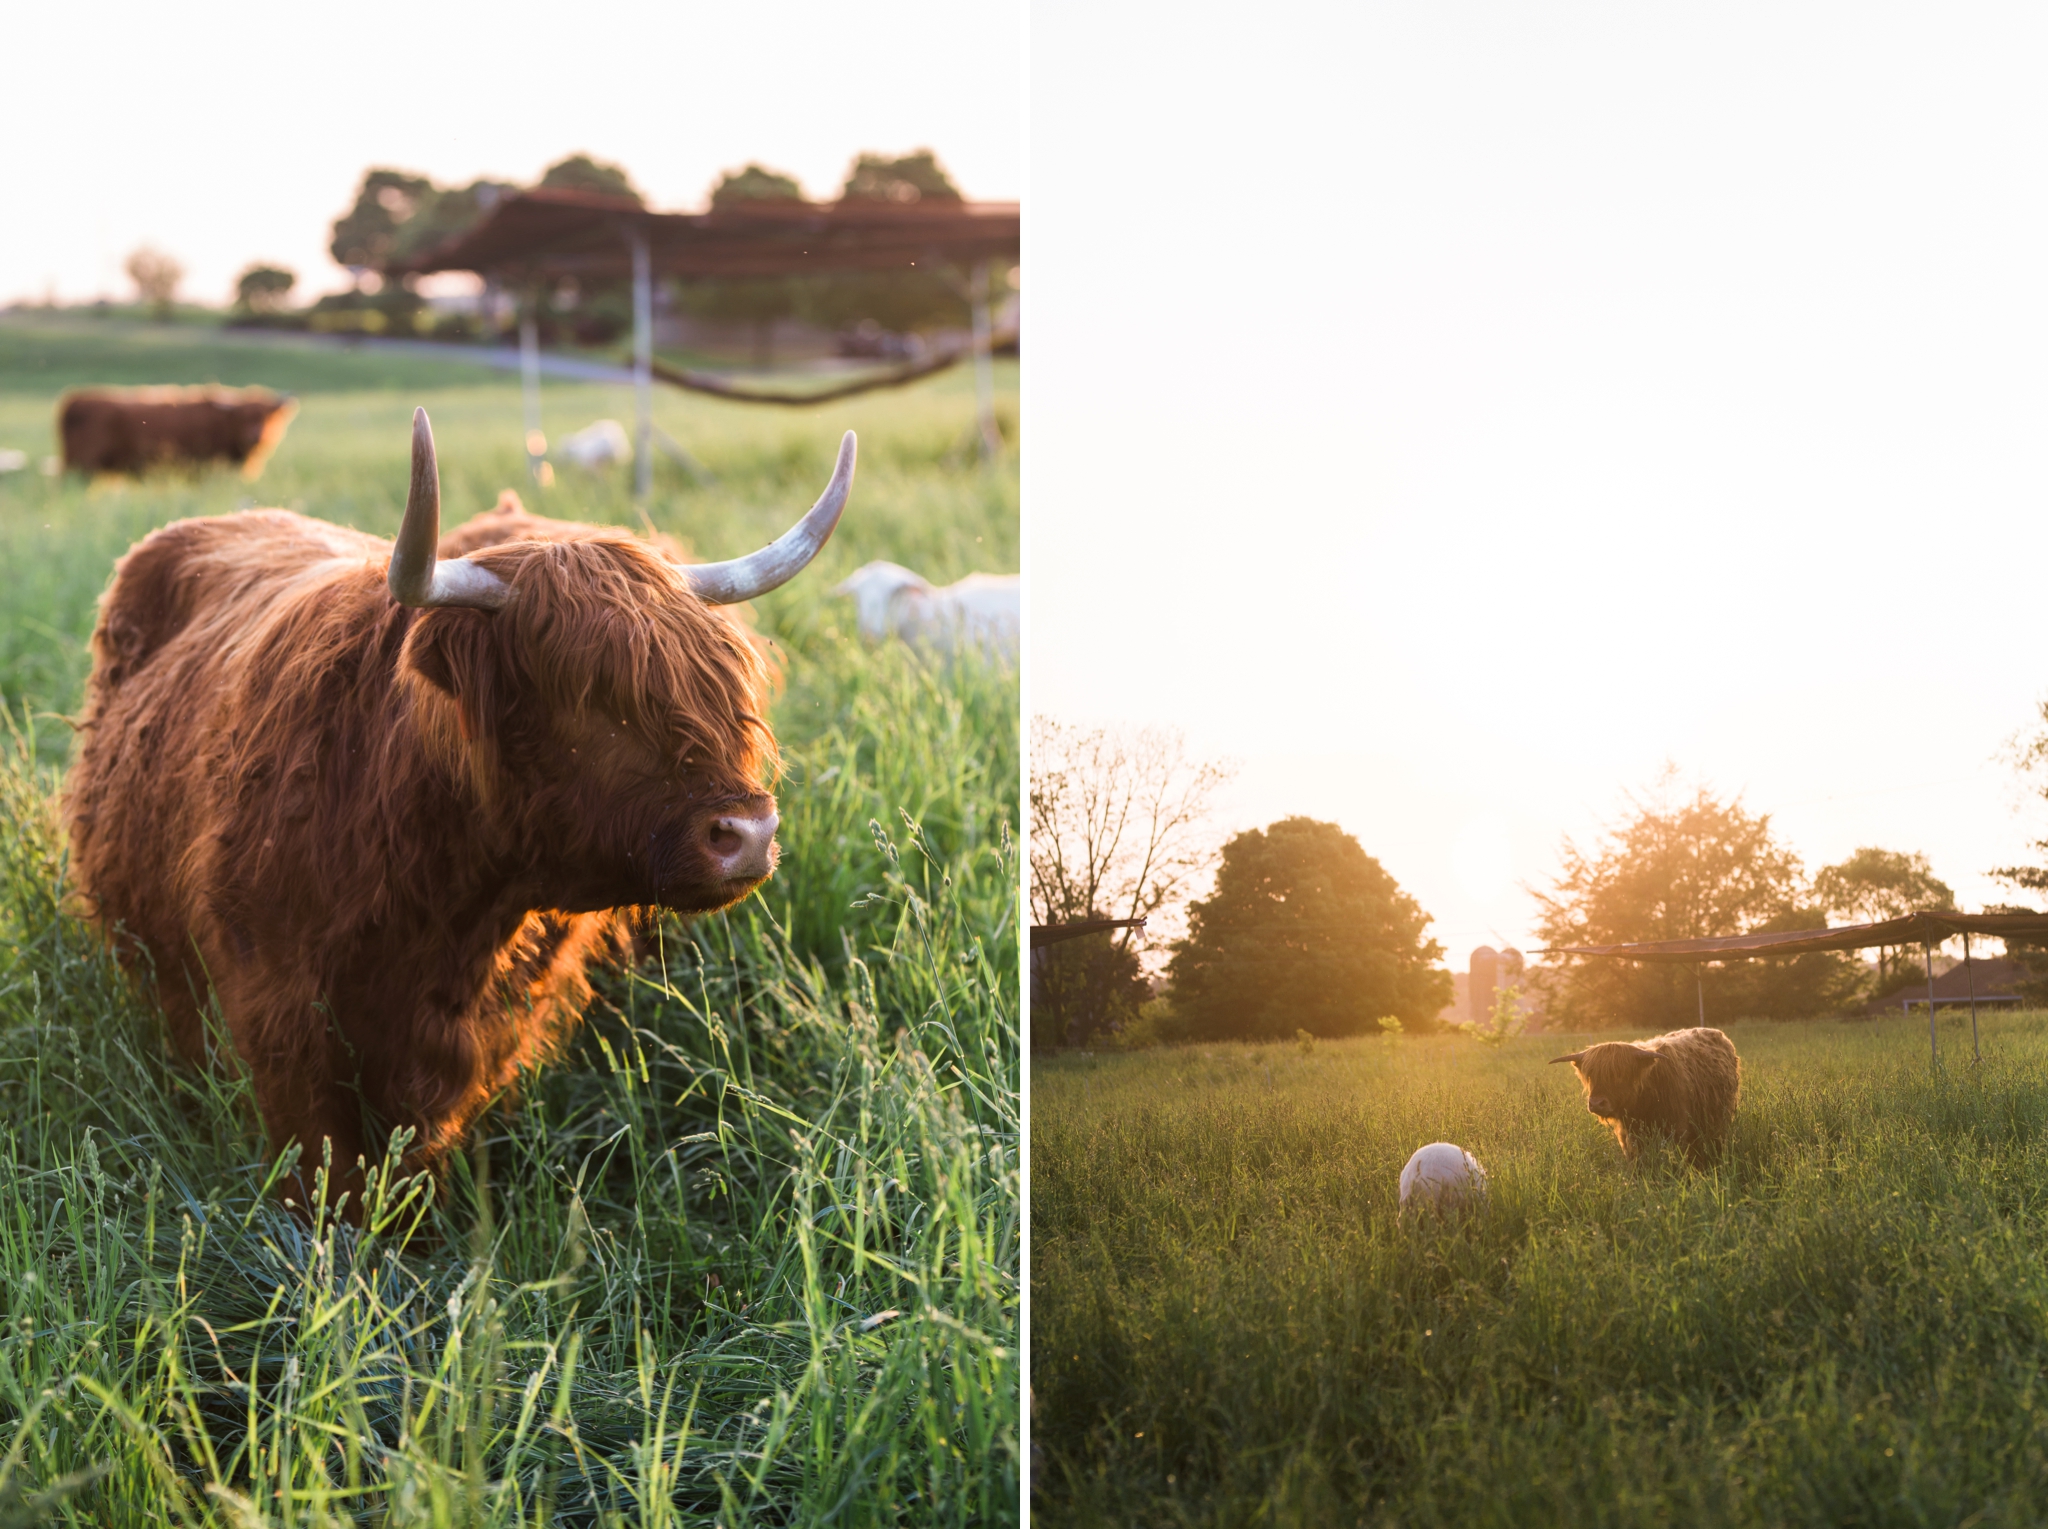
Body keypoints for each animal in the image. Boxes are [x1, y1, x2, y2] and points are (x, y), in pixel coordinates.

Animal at [59, 409, 851, 1219]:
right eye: (587, 695)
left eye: (721, 684)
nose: (748, 833)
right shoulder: (274, 1012)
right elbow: (322, 1170)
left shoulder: (475, 1036)